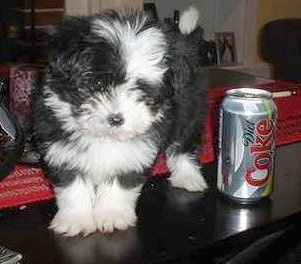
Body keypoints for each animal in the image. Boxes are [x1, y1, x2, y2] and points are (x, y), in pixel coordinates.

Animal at [34, 6, 207, 237]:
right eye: (97, 84)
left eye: (141, 90)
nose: (116, 119)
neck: (105, 137)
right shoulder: (61, 148)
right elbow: (72, 185)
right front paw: (75, 219)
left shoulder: (136, 152)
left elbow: (122, 181)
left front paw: (112, 214)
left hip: (189, 113)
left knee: (183, 144)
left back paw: (188, 176)